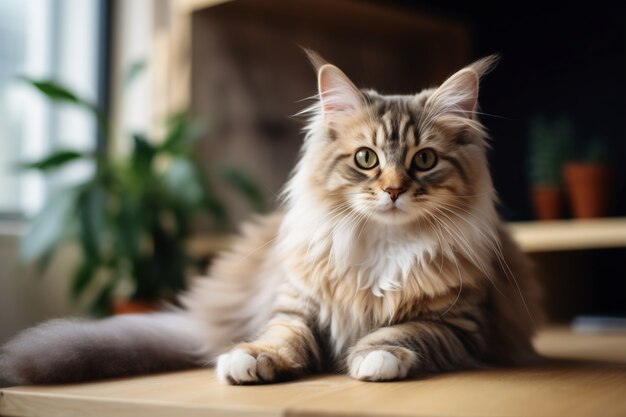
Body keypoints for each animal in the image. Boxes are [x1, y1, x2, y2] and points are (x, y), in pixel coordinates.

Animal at [0, 51, 540, 384]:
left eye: (423, 160)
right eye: (366, 159)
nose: (392, 191)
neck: (383, 245)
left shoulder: (459, 322)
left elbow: (402, 334)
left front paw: (376, 357)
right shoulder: (297, 303)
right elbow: (282, 337)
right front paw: (252, 359)